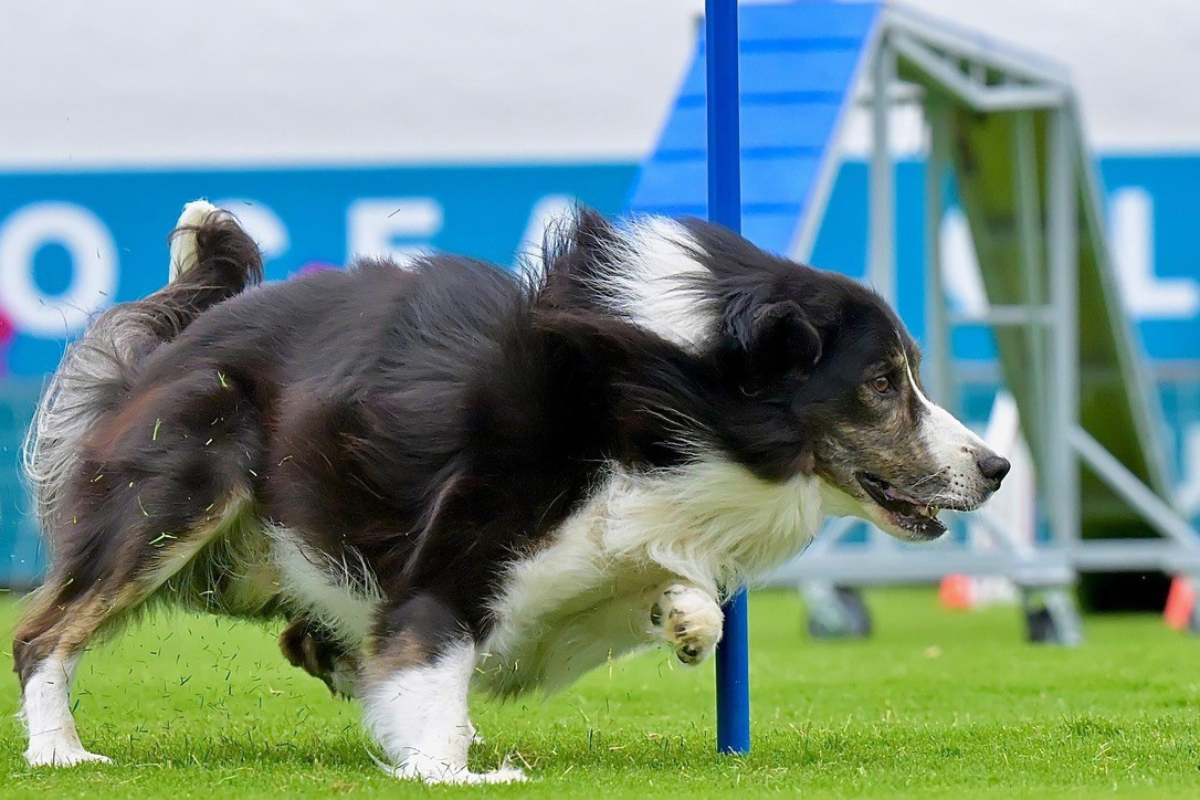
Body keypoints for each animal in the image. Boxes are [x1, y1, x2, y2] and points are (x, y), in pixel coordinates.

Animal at [14, 200, 1008, 782]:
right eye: (880, 382)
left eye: (908, 374)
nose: (995, 468)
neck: (653, 398)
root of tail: (183, 329)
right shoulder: (450, 561)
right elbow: (432, 663)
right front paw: (445, 765)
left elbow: (683, 592)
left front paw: (685, 617)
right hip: (177, 499)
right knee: (44, 633)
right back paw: (60, 749)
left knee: (303, 637)